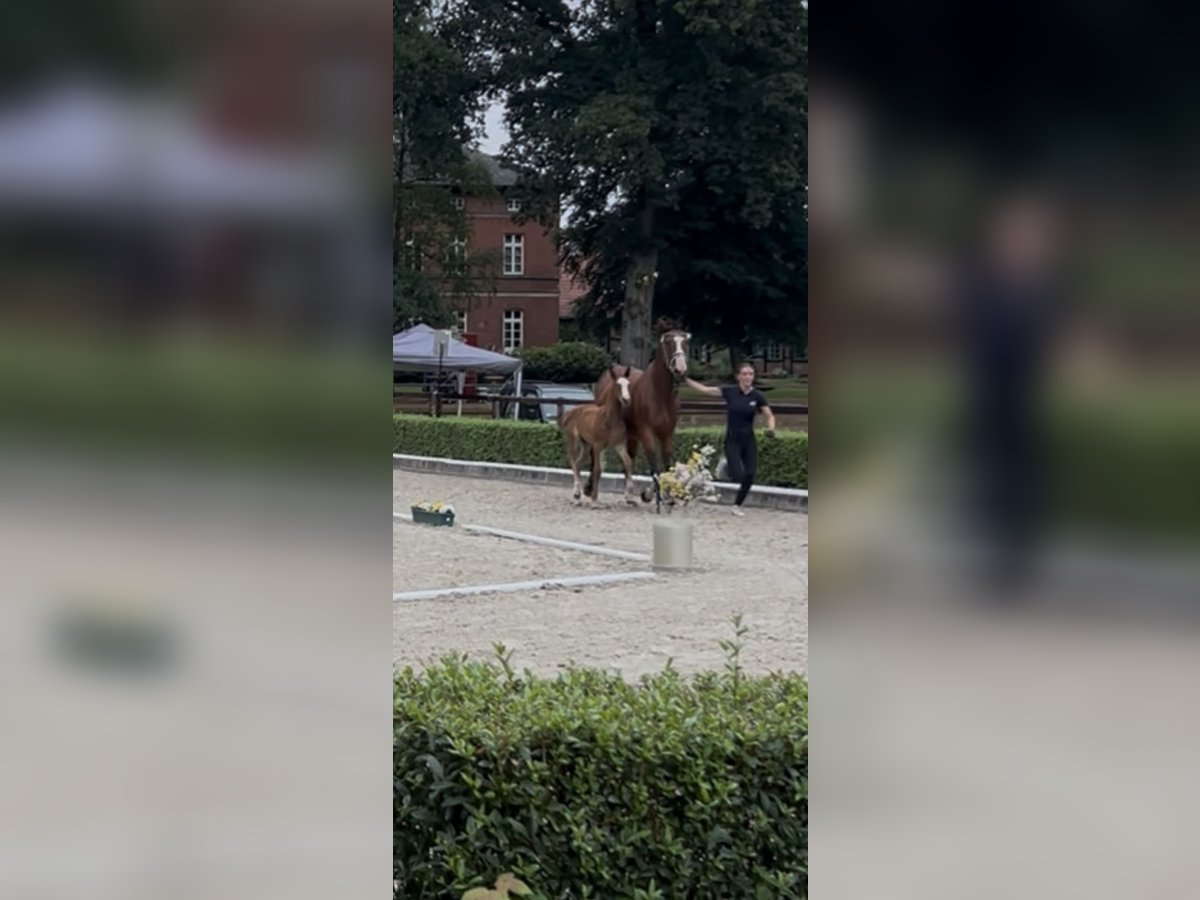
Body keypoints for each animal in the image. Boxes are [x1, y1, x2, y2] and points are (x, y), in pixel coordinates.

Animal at [560, 365, 635, 506]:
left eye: (628, 384)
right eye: (618, 385)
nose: (626, 400)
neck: (610, 419)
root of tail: (570, 412)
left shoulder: (619, 444)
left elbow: (628, 463)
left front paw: (630, 495)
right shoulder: (598, 446)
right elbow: (597, 469)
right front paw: (594, 500)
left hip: (585, 445)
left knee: (578, 463)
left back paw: (577, 496)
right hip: (573, 441)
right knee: (572, 461)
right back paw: (576, 493)